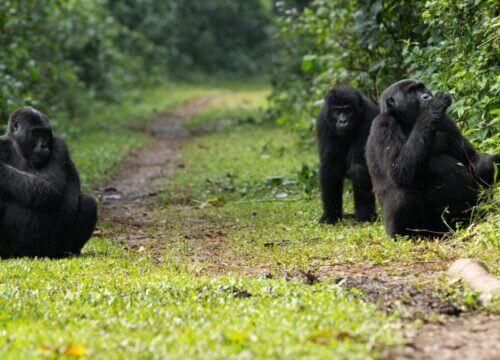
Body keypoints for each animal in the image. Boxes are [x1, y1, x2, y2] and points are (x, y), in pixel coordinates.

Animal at [0, 105, 97, 258]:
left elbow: (48, 188)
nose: (44, 146)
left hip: (55, 248)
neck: (19, 148)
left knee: (89, 202)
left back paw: (71, 252)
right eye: (36, 133)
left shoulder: (58, 146)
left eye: (45, 134)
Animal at [316, 85, 378, 224]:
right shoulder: (323, 121)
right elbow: (331, 166)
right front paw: (331, 215)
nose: (342, 121)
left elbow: (359, 167)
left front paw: (365, 215)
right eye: (337, 111)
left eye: (348, 110)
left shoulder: (368, 119)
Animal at [366, 79, 498, 238]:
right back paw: (407, 236)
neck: (405, 120)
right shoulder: (383, 124)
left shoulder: (446, 119)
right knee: (403, 193)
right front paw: (433, 106)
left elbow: (471, 159)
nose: (426, 96)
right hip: (425, 230)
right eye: (412, 91)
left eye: (422, 88)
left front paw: (489, 164)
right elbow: (399, 171)